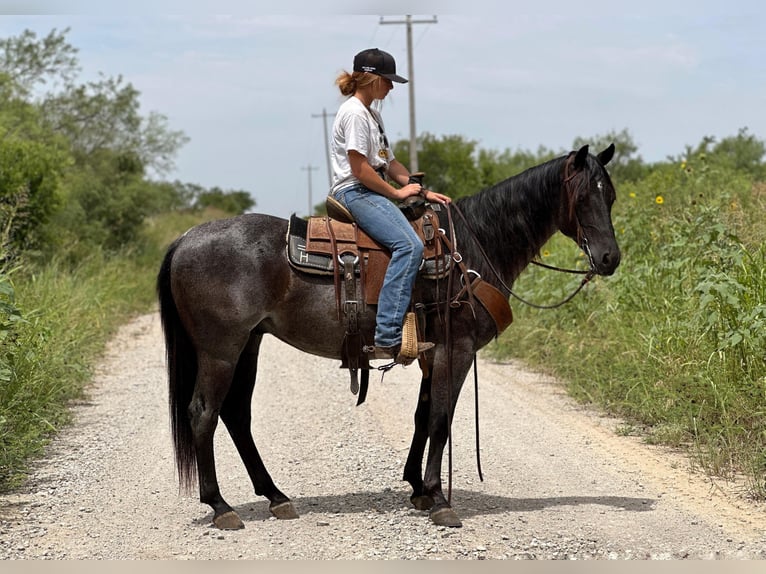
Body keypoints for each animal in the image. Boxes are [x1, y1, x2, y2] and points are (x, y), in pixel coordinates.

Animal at [158, 143, 624, 532]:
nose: (609, 259)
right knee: (203, 413)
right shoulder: (456, 351)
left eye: (612, 196)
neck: (470, 251)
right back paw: (221, 506)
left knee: (236, 415)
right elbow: (441, 418)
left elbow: (423, 415)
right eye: (584, 196)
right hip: (221, 350)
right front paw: (439, 498)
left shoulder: (432, 355)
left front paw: (417, 488)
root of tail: (184, 239)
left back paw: (275, 497)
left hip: (249, 344)